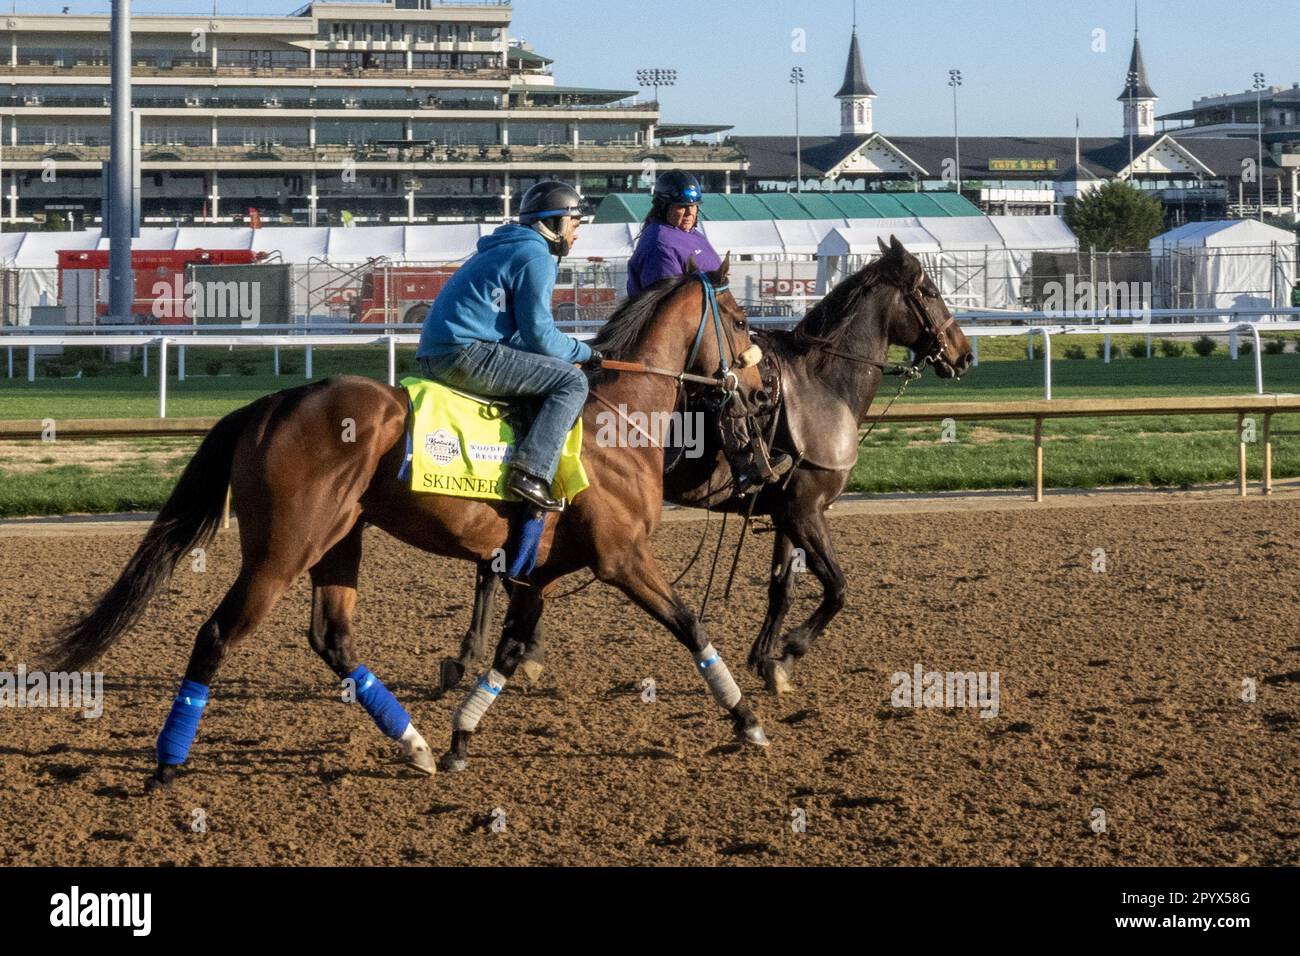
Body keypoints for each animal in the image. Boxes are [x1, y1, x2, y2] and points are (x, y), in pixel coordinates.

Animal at [48, 257, 769, 780]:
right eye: (739, 320)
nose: (761, 393)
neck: (612, 426)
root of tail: (271, 404)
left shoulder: (538, 573)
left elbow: (509, 653)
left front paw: (459, 737)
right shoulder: (622, 557)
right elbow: (690, 622)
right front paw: (747, 720)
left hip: (339, 541)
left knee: (332, 640)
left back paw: (413, 744)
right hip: (281, 551)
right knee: (217, 634)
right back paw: (168, 762)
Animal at [452, 235, 972, 691]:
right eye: (929, 291)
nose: (964, 354)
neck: (821, 383)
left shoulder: (787, 513)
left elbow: (781, 588)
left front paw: (765, 659)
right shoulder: (806, 511)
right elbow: (837, 587)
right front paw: (790, 653)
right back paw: (493, 651)